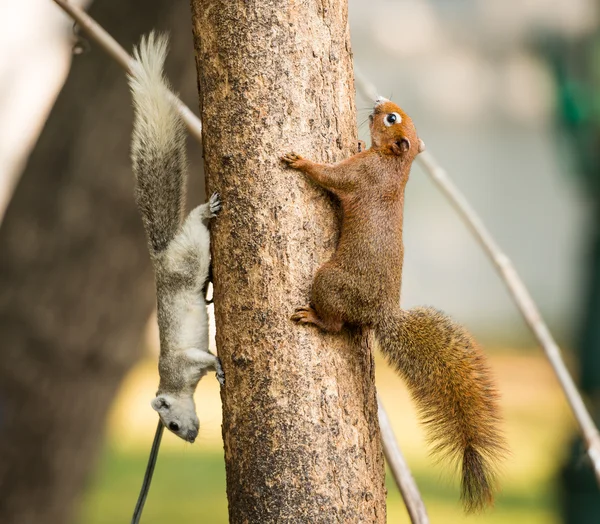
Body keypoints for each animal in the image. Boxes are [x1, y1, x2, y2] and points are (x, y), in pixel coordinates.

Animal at [282, 97, 506, 512]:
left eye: (391, 118)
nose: (377, 101)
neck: (395, 167)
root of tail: (379, 313)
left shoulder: (359, 174)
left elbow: (329, 176)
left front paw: (300, 161)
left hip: (330, 281)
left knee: (335, 324)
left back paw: (314, 317)